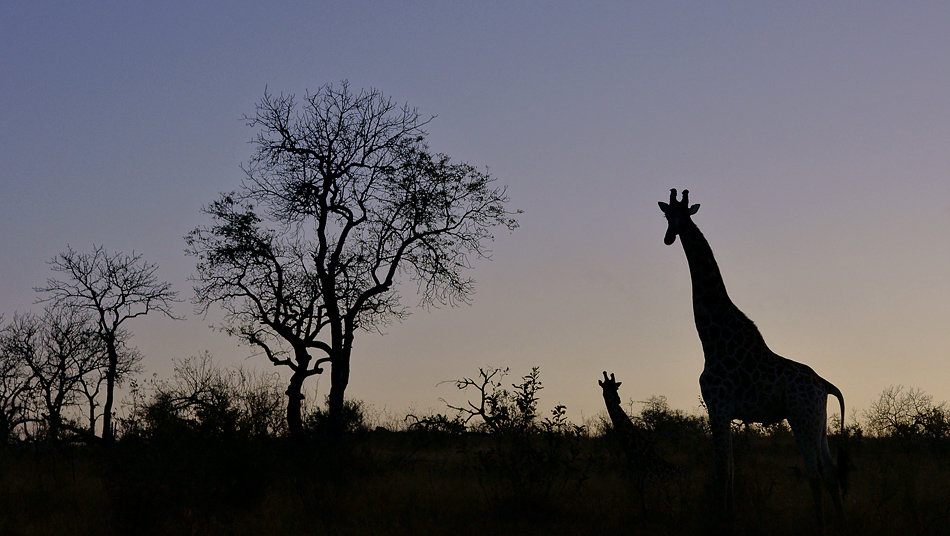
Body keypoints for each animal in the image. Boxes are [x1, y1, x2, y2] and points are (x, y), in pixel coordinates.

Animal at [660, 189, 852, 528]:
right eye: (667, 215)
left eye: (681, 215)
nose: (670, 237)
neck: (711, 339)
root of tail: (825, 385)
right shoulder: (724, 411)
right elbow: (732, 470)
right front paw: (729, 518)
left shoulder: (718, 406)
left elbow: (722, 471)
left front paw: (721, 521)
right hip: (818, 421)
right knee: (830, 473)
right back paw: (840, 526)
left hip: (801, 417)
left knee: (815, 474)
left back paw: (820, 525)